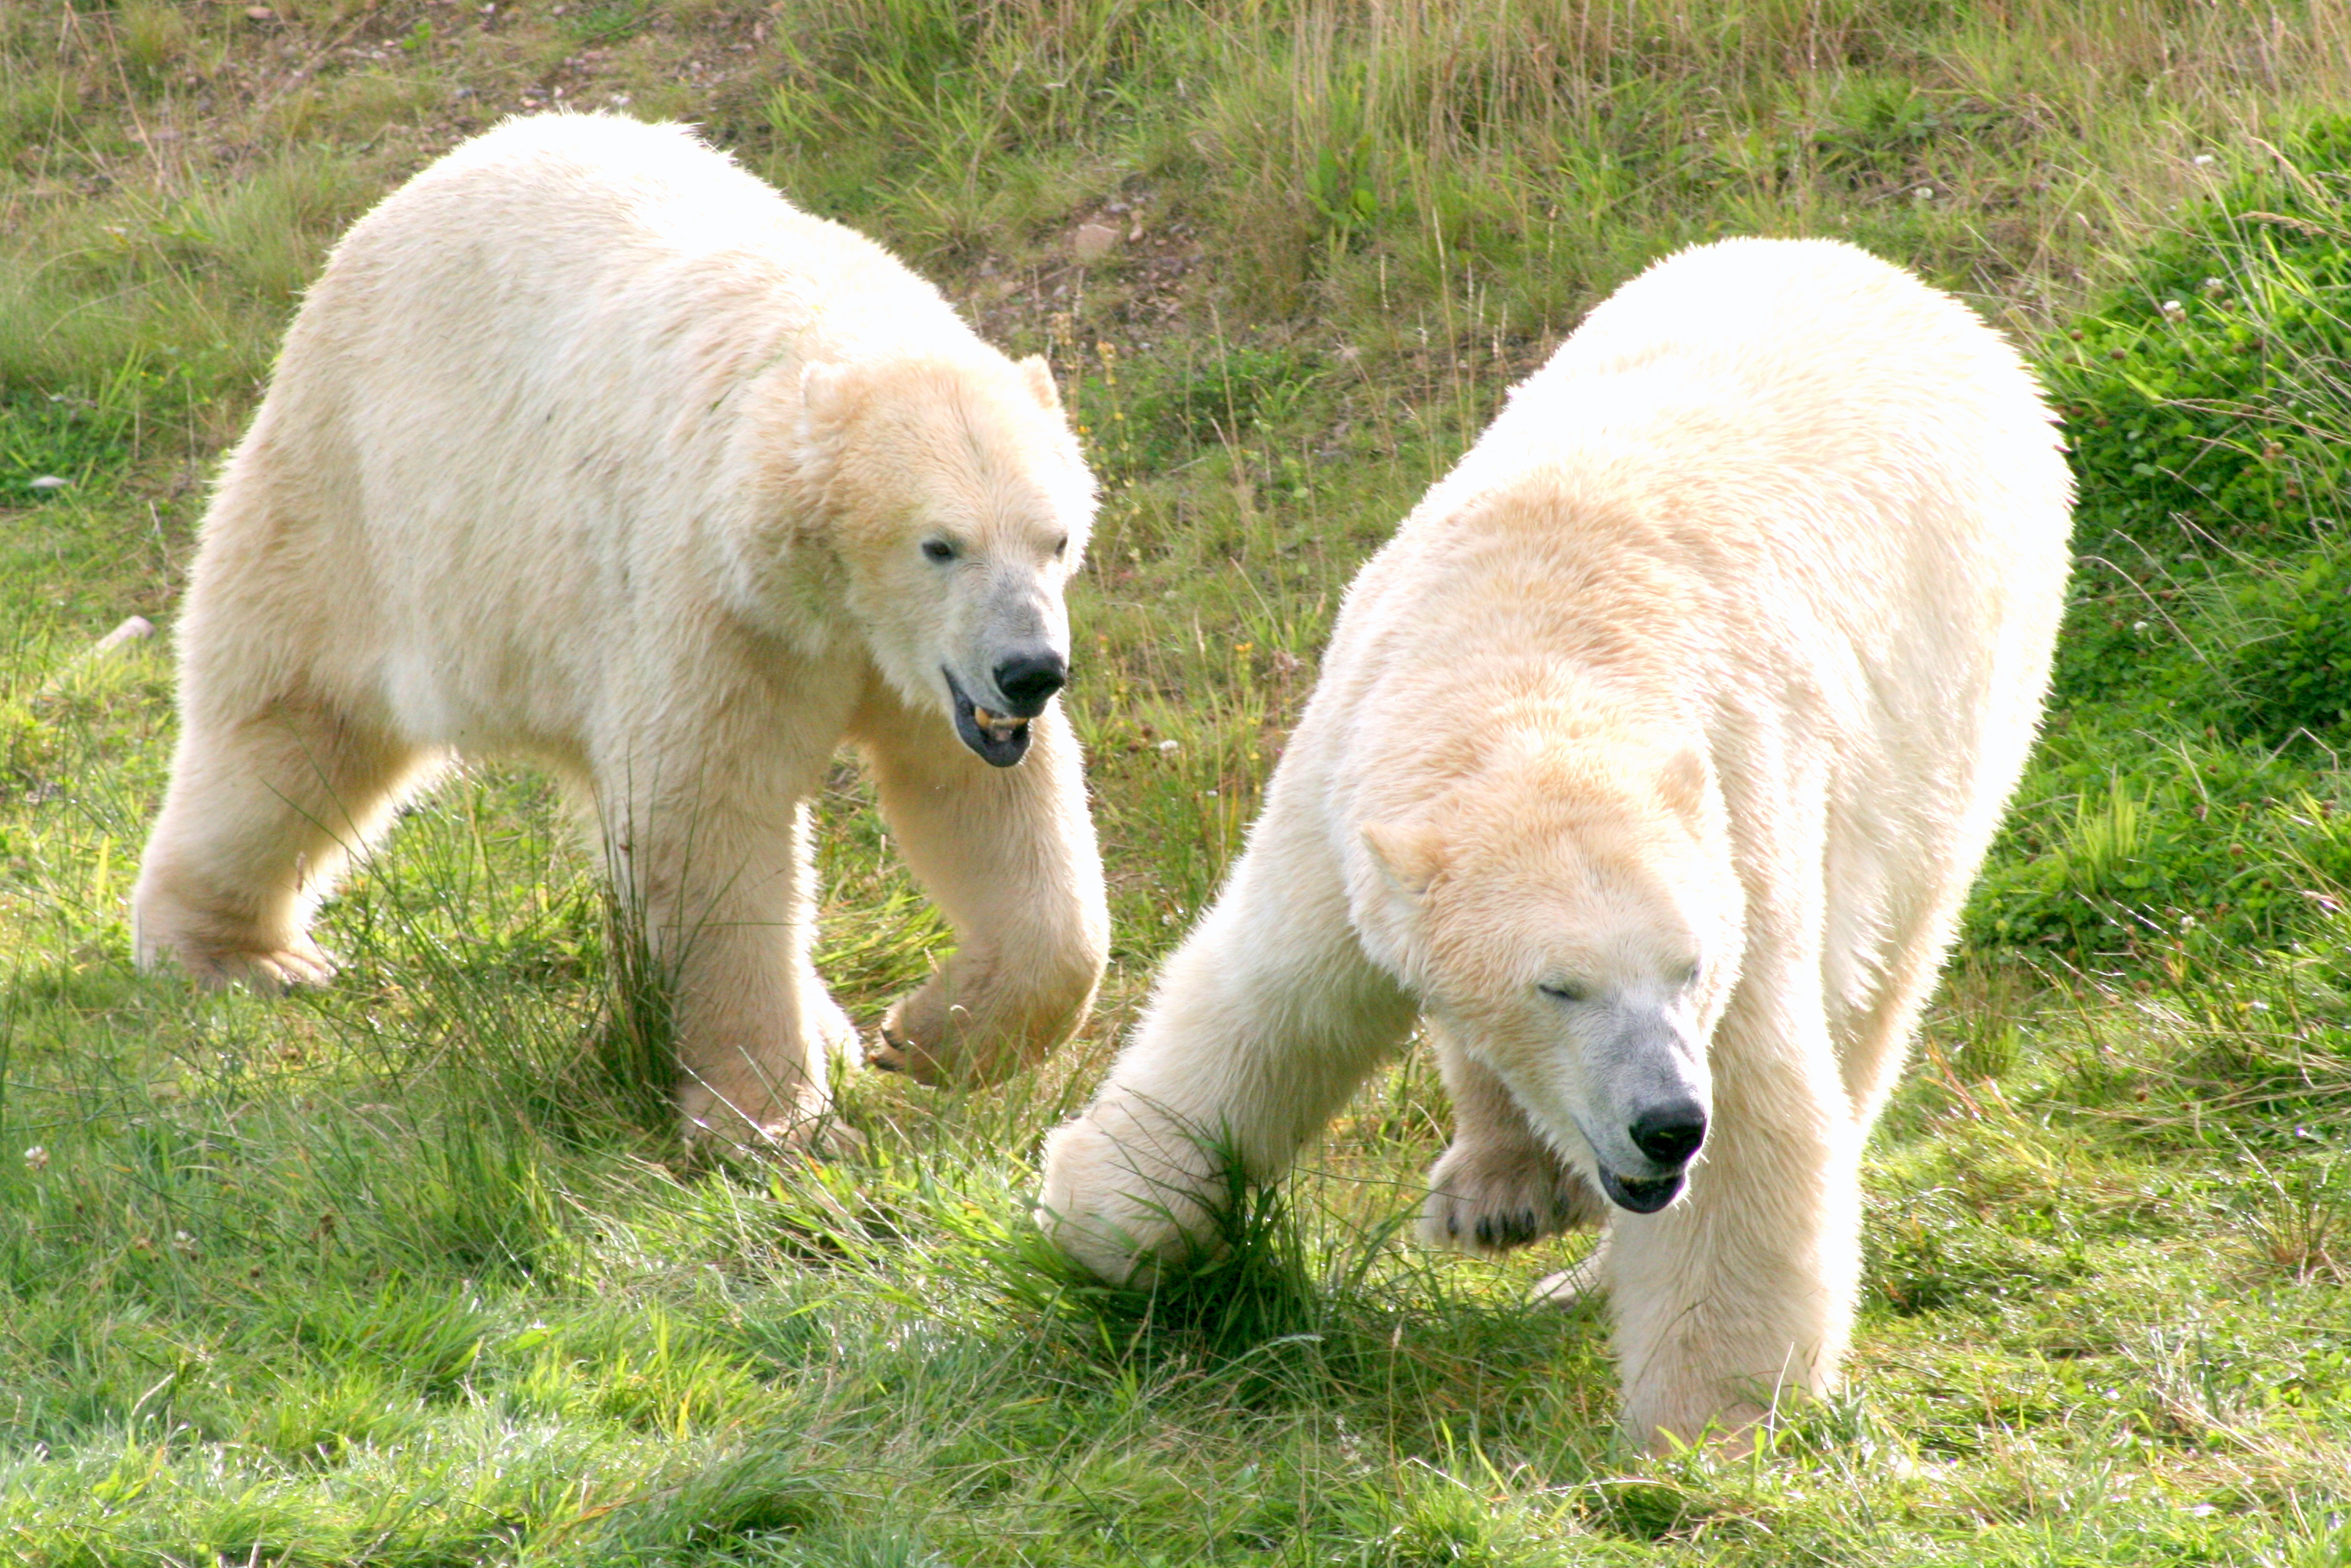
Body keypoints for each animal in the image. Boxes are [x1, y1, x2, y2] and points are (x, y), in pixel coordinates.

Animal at [132, 112, 1110, 1143]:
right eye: (940, 545)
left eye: (1057, 538)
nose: (1030, 671)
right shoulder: (715, 603)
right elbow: (704, 820)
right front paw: (774, 1119)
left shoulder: (913, 670)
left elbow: (989, 805)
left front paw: (926, 1038)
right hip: (352, 509)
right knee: (294, 728)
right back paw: (241, 953)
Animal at [1038, 237, 2072, 1452]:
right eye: (1556, 986)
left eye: (1687, 969)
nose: (1665, 1125)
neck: (1537, 646)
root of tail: (1919, 294)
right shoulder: (1347, 786)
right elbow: (1268, 999)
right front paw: (1108, 1217)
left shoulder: (1737, 825)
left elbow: (1757, 1105)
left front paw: (1704, 1421)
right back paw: (1500, 1186)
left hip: (1958, 696)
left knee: (1877, 978)